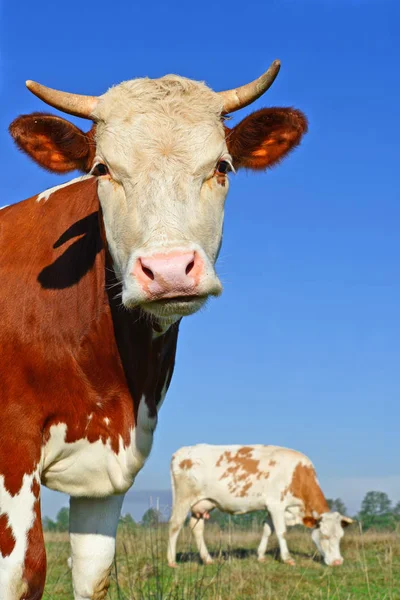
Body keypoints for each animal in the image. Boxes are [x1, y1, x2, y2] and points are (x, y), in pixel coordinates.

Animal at [0, 62, 310, 600]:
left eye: (222, 167)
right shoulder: (11, 453)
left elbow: (93, 574)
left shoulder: (107, 467)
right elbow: (21, 570)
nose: (168, 271)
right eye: (101, 170)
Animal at [168, 446, 354, 568]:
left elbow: (267, 531)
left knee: (196, 528)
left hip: (203, 503)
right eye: (324, 535)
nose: (338, 562)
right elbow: (281, 532)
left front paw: (261, 556)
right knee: (175, 525)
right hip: (183, 498)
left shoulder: (270, 508)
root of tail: (181, 452)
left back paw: (207, 559)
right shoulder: (277, 505)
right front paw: (287, 558)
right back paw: (171, 561)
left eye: (340, 536)